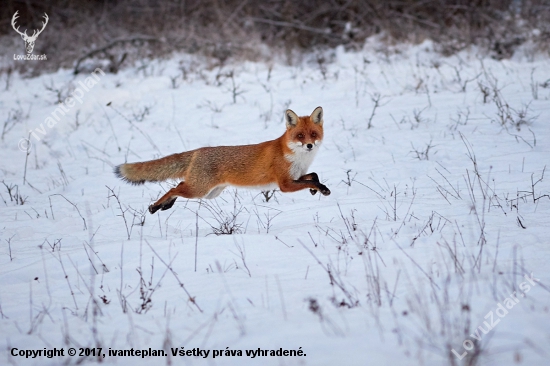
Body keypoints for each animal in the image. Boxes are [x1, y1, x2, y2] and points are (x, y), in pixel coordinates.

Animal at [115, 105, 332, 214]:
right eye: (300, 136)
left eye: (313, 134)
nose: (310, 145)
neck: (298, 158)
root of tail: (198, 150)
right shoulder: (284, 184)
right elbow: (311, 180)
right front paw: (320, 189)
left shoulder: (296, 176)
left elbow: (313, 175)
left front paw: (317, 189)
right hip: (199, 190)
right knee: (174, 187)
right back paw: (155, 206)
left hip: (209, 193)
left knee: (177, 186)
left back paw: (164, 205)